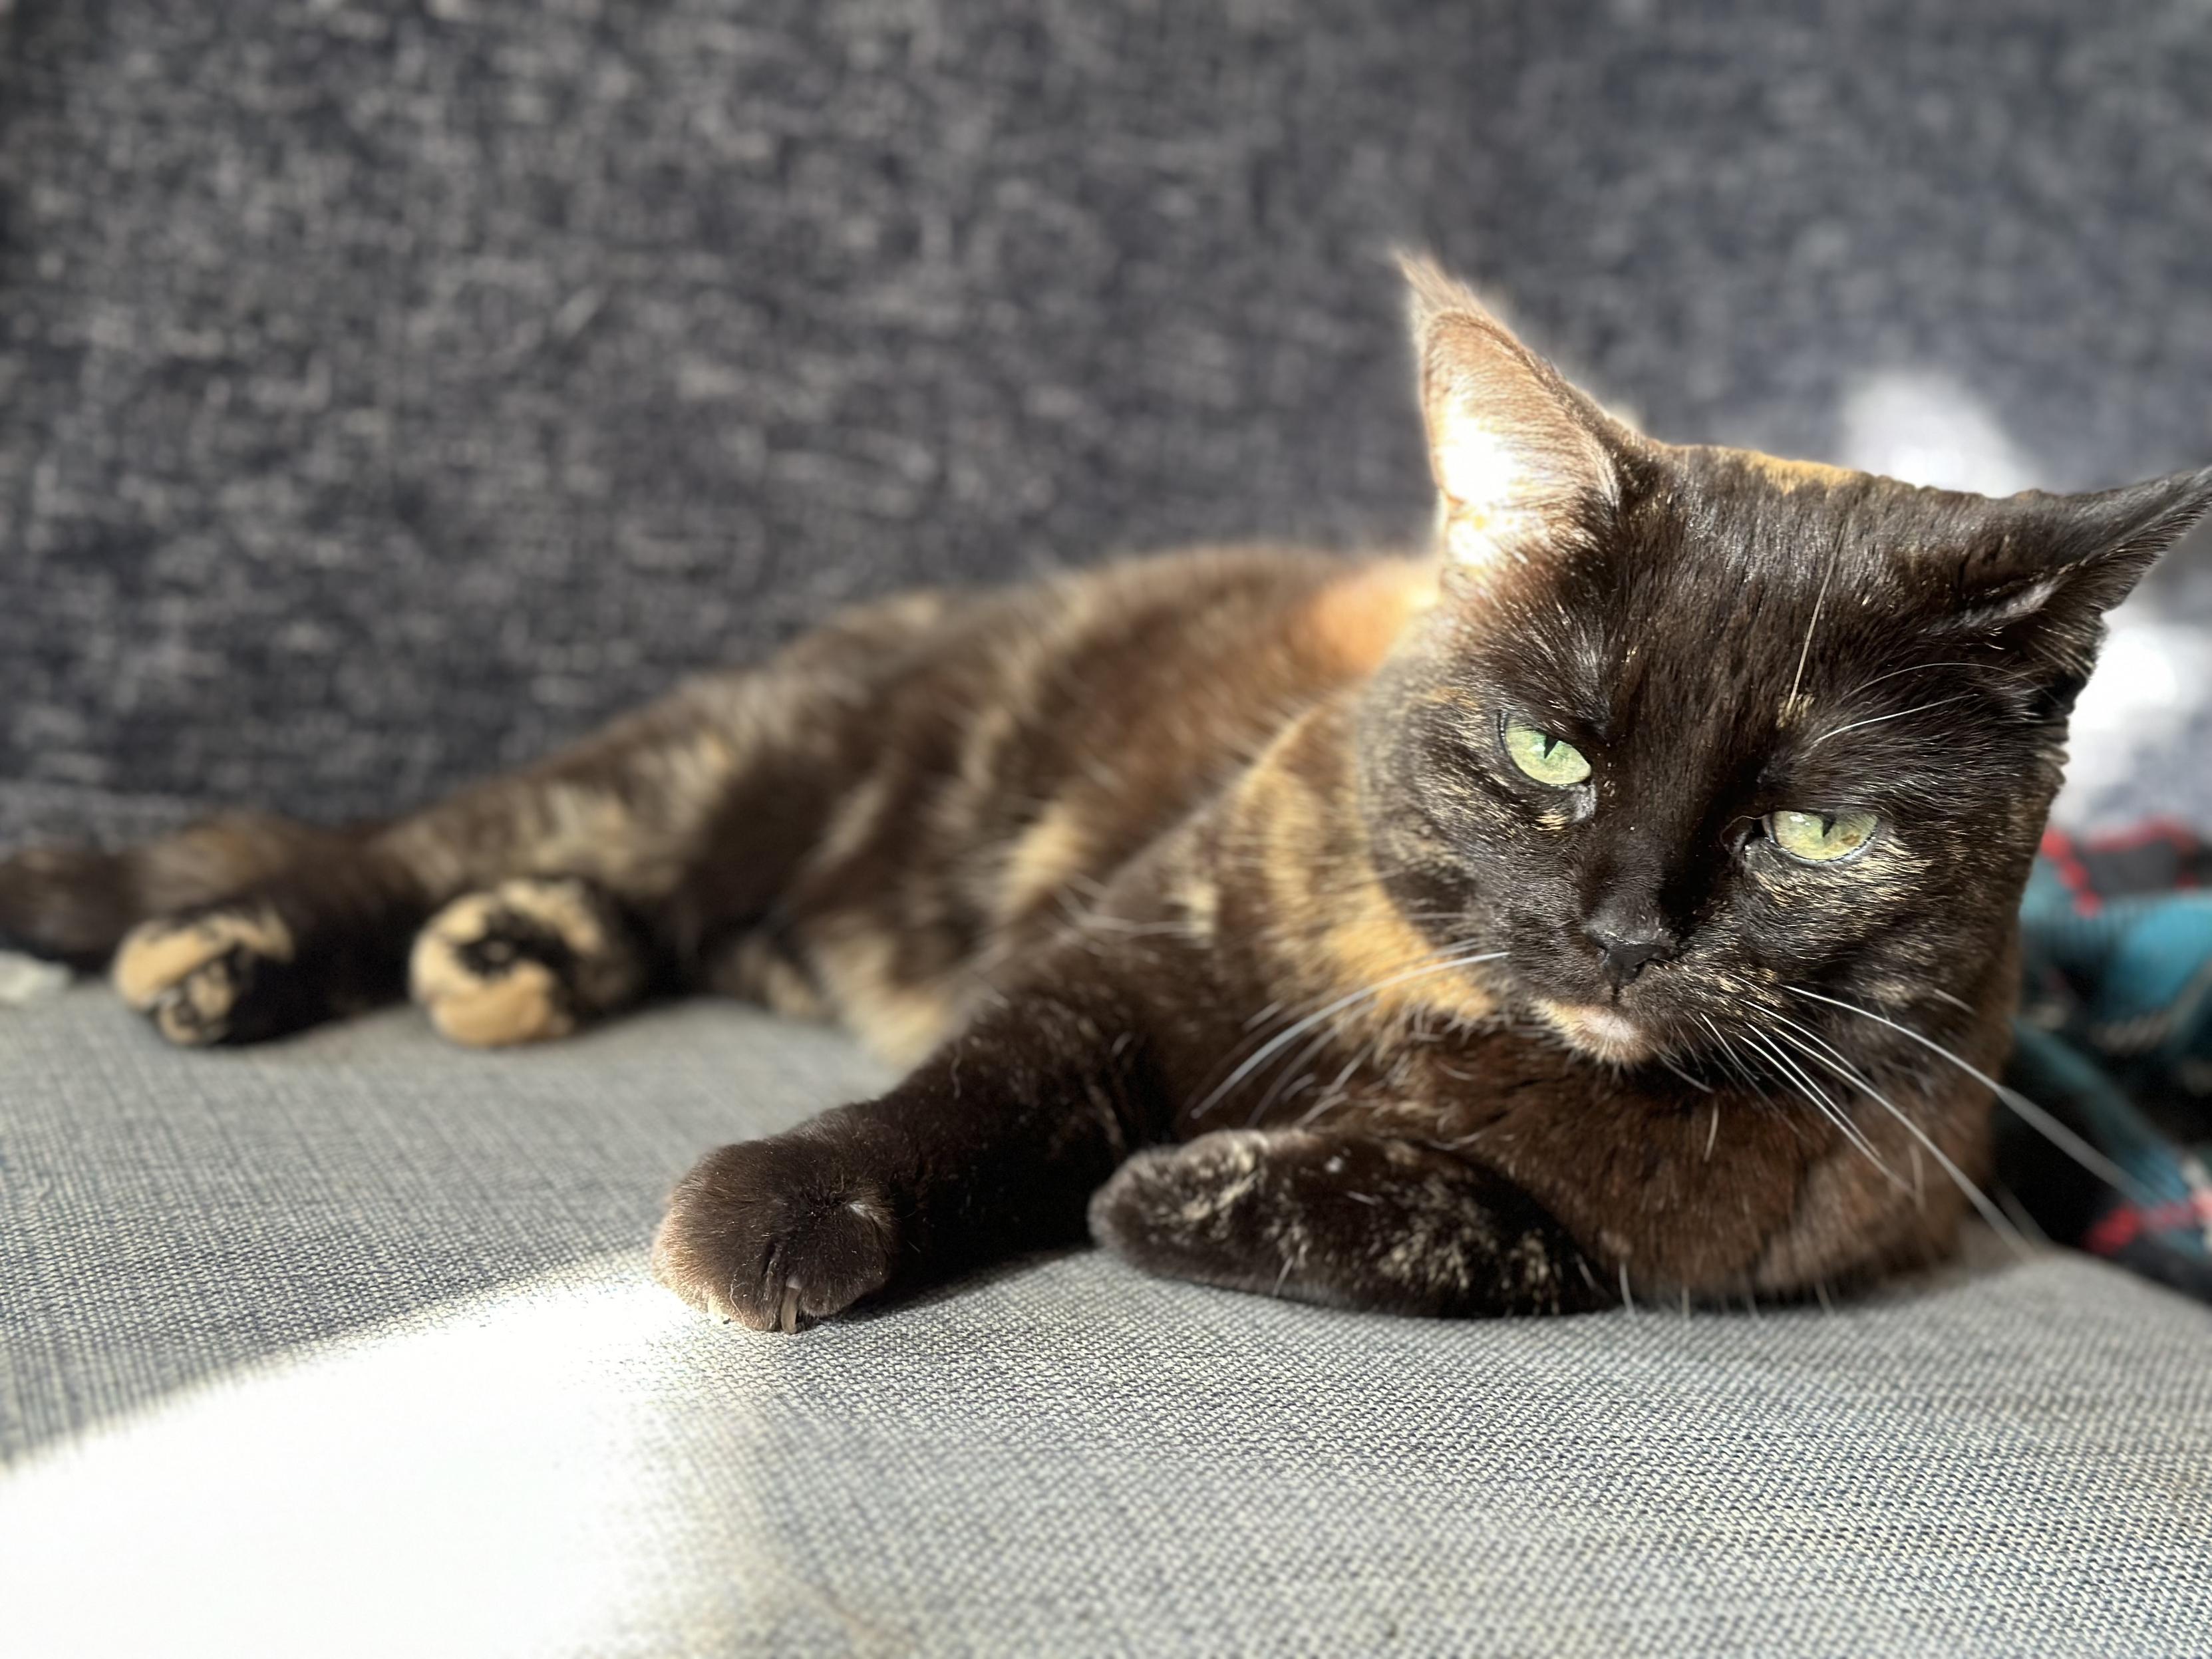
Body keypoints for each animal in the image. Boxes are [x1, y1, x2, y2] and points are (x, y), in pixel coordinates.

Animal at [4, 269, 2212, 1336]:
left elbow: (1449, 1218)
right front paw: (779, 1211)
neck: (1466, 1026)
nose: (1618, 932)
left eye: (1805, 833)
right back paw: (179, 928)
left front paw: (1182, 1190)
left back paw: (517, 951)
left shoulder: (1732, 1216)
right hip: (731, 761)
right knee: (381, 845)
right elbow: (982, 1092)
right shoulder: (1133, 954)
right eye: (1550, 751)